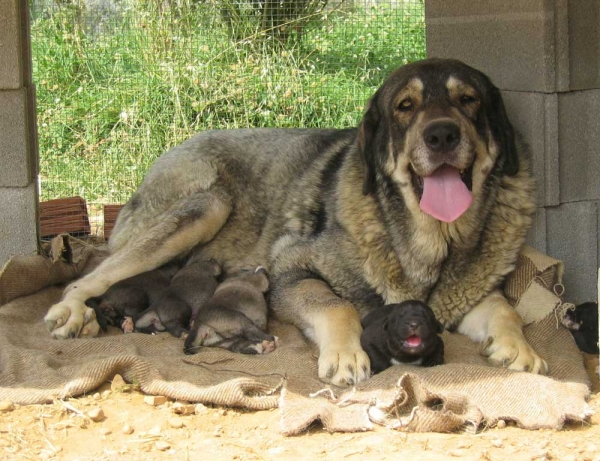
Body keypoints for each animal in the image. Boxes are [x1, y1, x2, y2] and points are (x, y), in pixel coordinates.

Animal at [42, 59, 548, 386]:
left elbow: (504, 308)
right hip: (207, 206)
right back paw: (73, 313)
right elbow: (336, 305)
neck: (427, 238)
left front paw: (521, 348)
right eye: (405, 106)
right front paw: (345, 353)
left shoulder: (463, 295)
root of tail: (173, 149)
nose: (442, 134)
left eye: (469, 100)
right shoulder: (290, 270)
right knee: (94, 272)